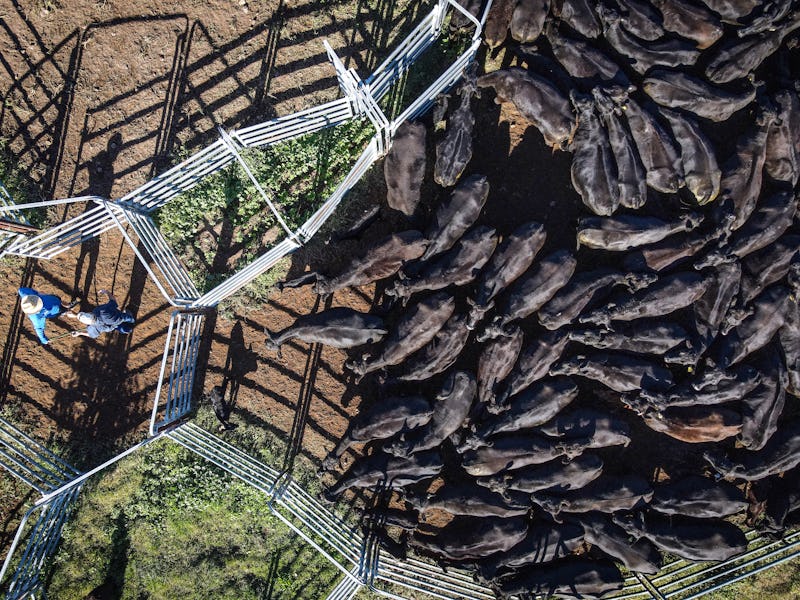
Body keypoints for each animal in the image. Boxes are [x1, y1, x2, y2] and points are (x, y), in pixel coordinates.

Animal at [278, 230, 429, 295]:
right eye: (316, 285)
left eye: (320, 291)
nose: (313, 290)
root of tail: (422, 239)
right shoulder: (325, 271)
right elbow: (303, 278)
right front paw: (283, 284)